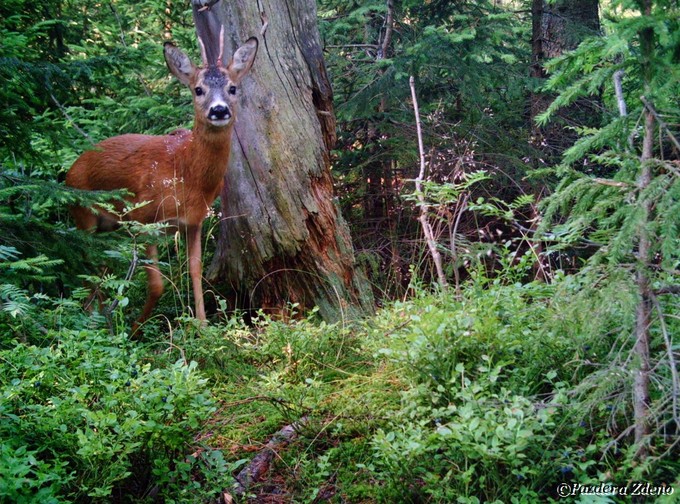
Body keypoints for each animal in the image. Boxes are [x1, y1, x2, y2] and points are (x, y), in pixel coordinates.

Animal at [67, 33, 258, 328]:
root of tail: (68, 172)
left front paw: (202, 326)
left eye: (233, 88)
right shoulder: (144, 218)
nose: (218, 110)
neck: (185, 173)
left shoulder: (193, 221)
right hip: (84, 215)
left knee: (97, 267)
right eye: (198, 89)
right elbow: (157, 285)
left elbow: (196, 271)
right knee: (85, 264)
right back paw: (96, 318)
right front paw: (135, 329)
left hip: (106, 224)